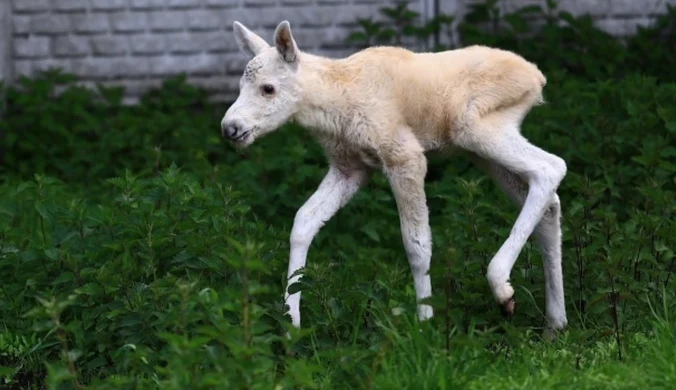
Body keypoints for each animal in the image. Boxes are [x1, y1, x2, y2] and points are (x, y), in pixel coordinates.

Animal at [222, 19, 572, 336]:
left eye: (269, 88)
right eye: (239, 86)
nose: (230, 128)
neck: (335, 105)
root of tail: (537, 79)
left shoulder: (405, 156)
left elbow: (417, 244)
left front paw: (425, 325)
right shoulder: (350, 167)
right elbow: (302, 222)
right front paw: (291, 324)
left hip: (473, 125)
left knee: (551, 166)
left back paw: (503, 289)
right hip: (481, 147)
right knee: (549, 201)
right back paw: (554, 325)